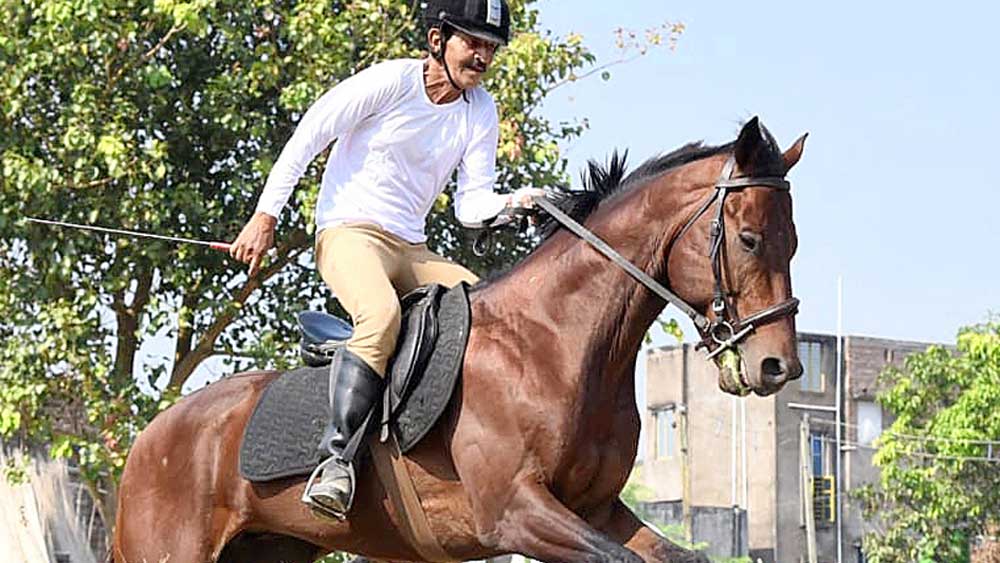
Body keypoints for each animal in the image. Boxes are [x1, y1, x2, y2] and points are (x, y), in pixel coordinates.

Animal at [112, 117, 806, 563]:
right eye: (749, 240)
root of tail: (149, 438)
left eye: (793, 243)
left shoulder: (598, 510)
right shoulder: (516, 513)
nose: (779, 366)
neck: (558, 345)